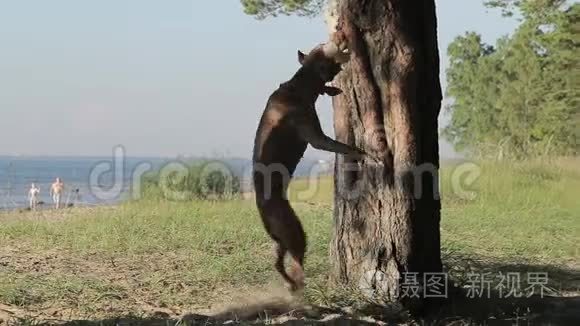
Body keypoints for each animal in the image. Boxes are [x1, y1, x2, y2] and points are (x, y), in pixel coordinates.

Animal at [250, 39, 368, 292]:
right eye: (330, 60)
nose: (337, 42)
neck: (299, 84)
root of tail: (262, 210)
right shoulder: (317, 137)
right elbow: (343, 146)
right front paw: (362, 153)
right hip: (295, 233)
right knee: (295, 261)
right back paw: (297, 283)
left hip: (282, 240)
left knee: (278, 263)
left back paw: (290, 284)